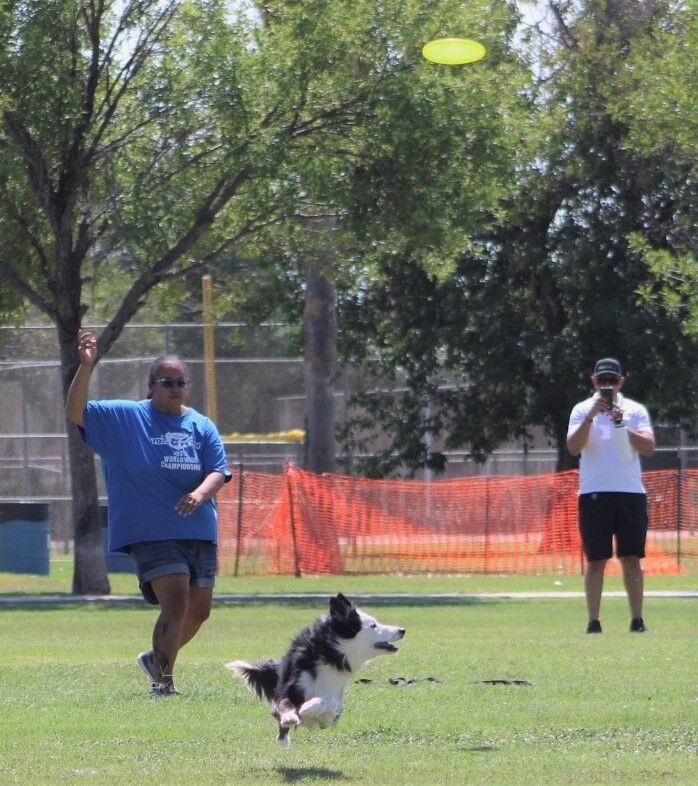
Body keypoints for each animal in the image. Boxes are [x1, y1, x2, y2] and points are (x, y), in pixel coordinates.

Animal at [226, 592, 406, 744]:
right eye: (373, 625)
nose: (402, 630)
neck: (332, 655)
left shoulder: (331, 714)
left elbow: (329, 701)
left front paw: (308, 708)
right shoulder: (292, 687)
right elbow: (284, 704)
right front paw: (289, 718)